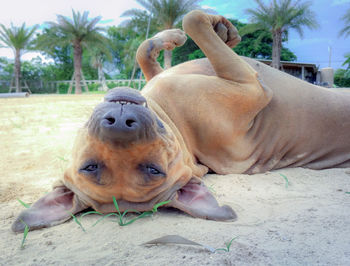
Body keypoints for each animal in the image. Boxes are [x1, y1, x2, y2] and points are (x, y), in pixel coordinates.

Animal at [10, 10, 350, 232]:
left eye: (88, 167)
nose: (120, 121)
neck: (184, 133)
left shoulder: (159, 75)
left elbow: (144, 50)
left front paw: (173, 37)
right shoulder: (251, 86)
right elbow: (192, 20)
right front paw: (209, 30)